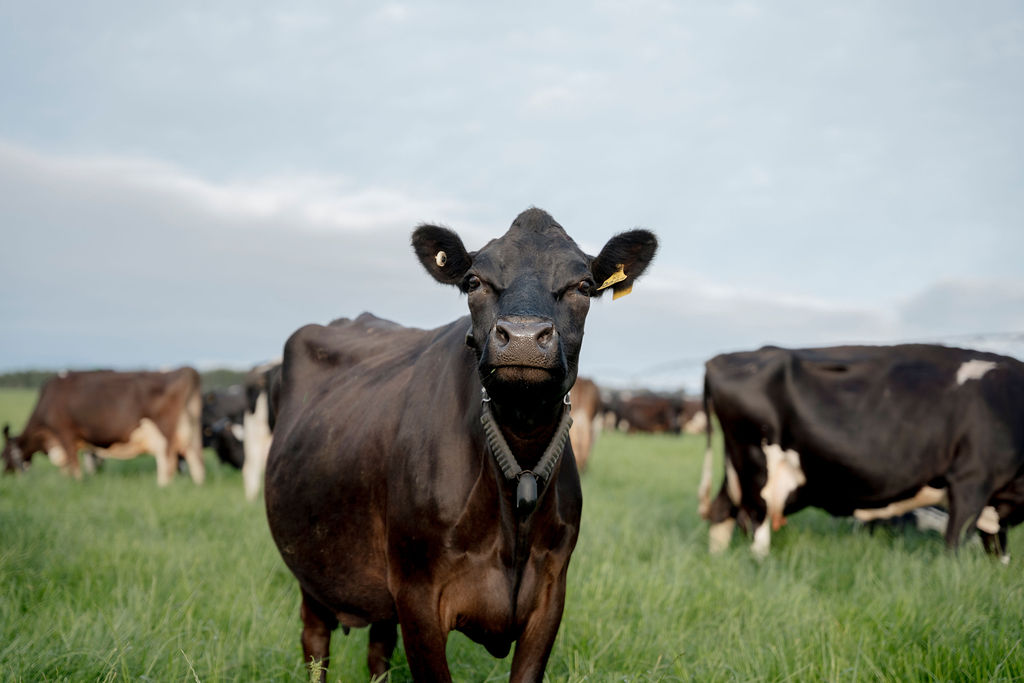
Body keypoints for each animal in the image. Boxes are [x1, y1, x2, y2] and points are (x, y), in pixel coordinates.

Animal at [2, 367, 205, 486]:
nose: (5, 475)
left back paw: (162, 487)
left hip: (164, 434)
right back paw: (198, 485)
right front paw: (65, 479)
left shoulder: (65, 433)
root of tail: (186, 370)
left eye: (3, 455)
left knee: (168, 462)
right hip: (190, 432)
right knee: (195, 460)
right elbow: (68, 465)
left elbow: (73, 464)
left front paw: (76, 483)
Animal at [264, 208, 657, 681]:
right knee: (316, 646)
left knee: (378, 650)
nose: (523, 337)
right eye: (473, 282)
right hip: (314, 572)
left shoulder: (550, 594)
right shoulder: (417, 594)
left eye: (582, 286)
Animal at [697, 344, 1024, 561]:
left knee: (721, 514)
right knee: (754, 528)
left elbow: (999, 551)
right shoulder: (971, 481)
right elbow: (954, 545)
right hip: (758, 471)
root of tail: (721, 358)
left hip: (737, 470)